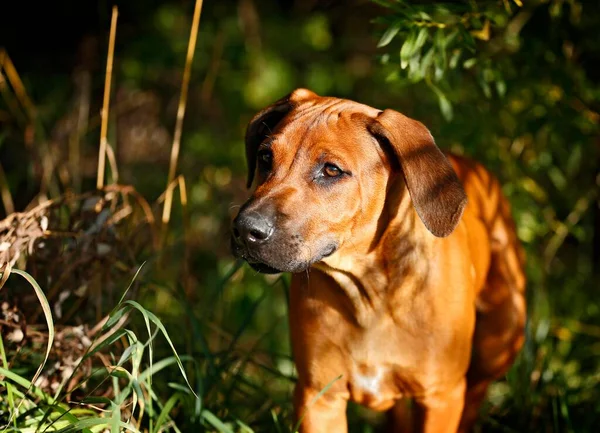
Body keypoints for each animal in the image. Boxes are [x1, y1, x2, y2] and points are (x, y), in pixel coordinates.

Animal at [230, 88, 524, 432]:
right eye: (266, 157)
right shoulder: (319, 396)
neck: (371, 295)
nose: (245, 229)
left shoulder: (440, 396)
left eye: (331, 170)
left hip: (501, 339)